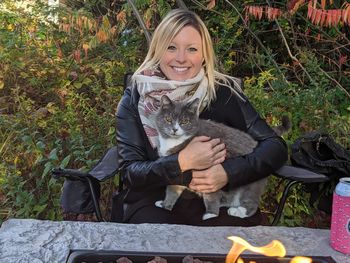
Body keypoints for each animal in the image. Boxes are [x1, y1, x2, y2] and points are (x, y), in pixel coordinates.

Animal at [154, 95, 290, 221]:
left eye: (185, 121)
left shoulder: (210, 173)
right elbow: (172, 190)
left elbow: (211, 196)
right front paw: (165, 205)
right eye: (168, 119)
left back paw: (238, 211)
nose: (174, 129)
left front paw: (211, 215)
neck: (175, 142)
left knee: (251, 202)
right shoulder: (177, 171)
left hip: (252, 181)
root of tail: (256, 143)